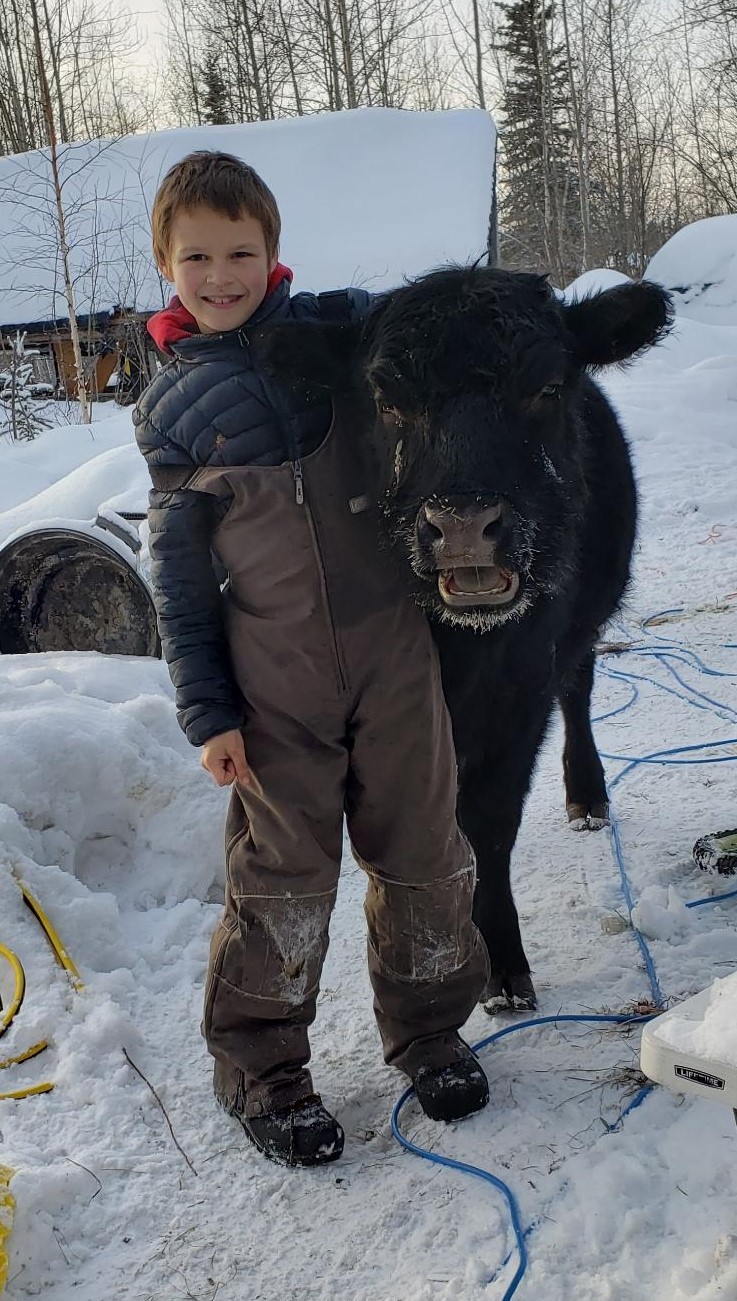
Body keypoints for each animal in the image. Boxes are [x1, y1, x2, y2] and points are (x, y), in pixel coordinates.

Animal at [261, 269, 677, 1009]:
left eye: (546, 386)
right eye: (386, 398)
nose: (462, 523)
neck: (462, 646)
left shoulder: (520, 696)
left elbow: (490, 820)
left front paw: (502, 963)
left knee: (579, 691)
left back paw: (587, 794)